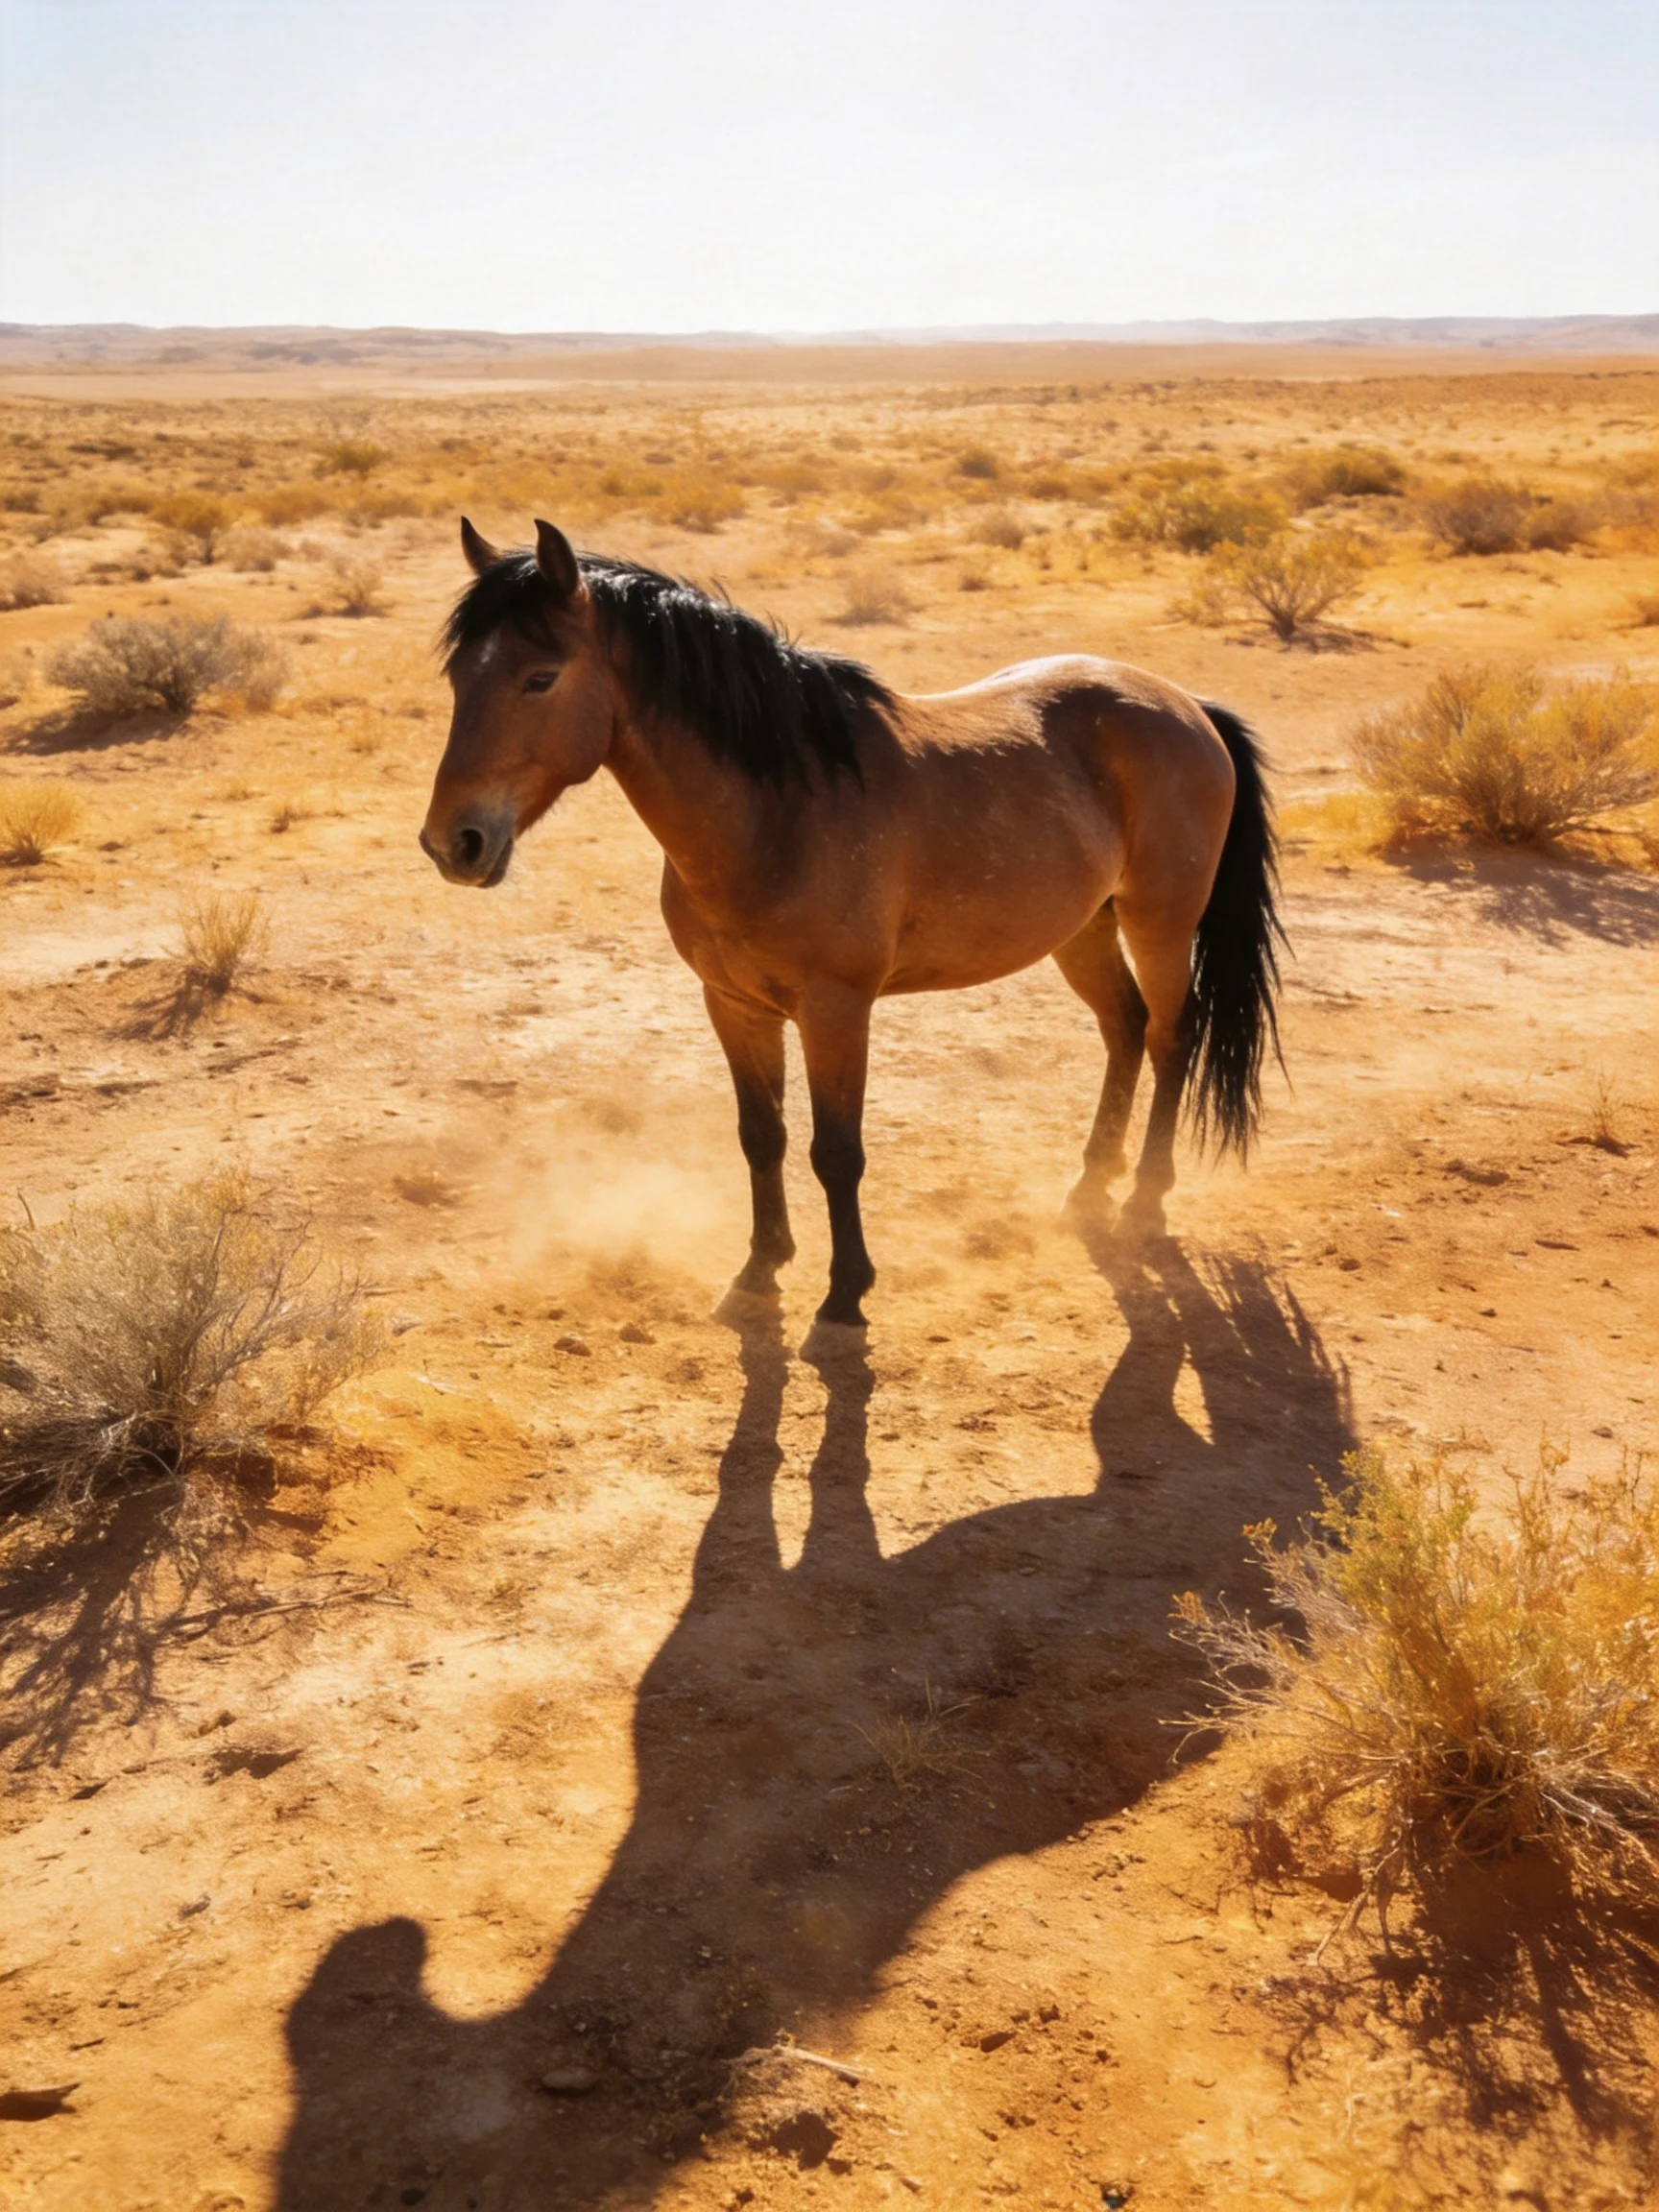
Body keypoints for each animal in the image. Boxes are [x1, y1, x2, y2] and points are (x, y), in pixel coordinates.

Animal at [419, 518, 1284, 1328]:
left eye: (539, 678)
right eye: (461, 675)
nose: (452, 842)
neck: (777, 815)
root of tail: (1186, 707)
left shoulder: (837, 1010)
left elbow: (835, 1151)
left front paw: (845, 1291)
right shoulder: (733, 1005)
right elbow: (761, 1136)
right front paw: (760, 1269)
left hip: (1160, 923)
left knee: (1172, 1036)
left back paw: (1144, 1199)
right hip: (1082, 930)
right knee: (1124, 1029)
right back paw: (1087, 1189)